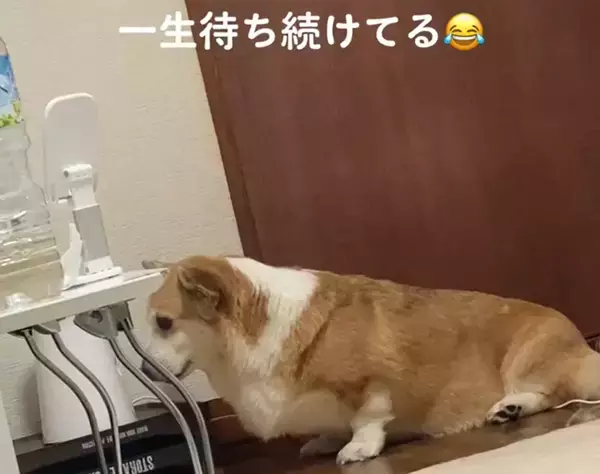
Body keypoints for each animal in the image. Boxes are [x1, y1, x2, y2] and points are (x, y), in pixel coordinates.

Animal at [140, 255, 600, 464]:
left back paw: (510, 405)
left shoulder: (369, 384)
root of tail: (582, 342)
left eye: (163, 323)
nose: (145, 370)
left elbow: (368, 416)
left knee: (549, 390)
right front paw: (325, 441)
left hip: (527, 358)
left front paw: (358, 447)